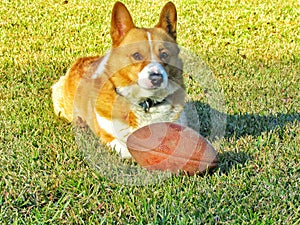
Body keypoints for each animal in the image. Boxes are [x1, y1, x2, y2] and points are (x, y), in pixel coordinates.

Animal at [52, 1, 186, 158]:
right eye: (136, 55)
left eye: (164, 54)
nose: (156, 78)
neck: (145, 103)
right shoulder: (109, 138)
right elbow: (129, 151)